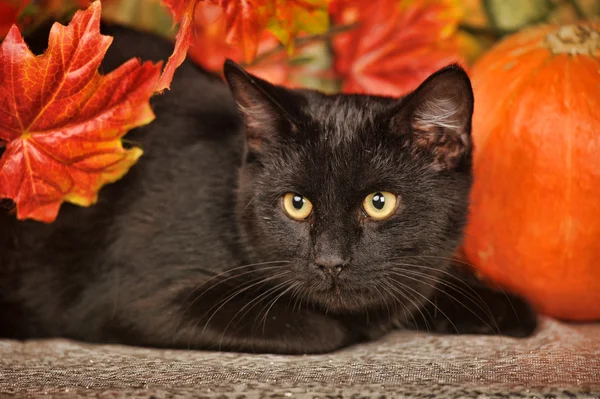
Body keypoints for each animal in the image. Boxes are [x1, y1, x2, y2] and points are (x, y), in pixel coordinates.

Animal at [0, 23, 536, 354]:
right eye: (296, 204)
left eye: (379, 203)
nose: (330, 261)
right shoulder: (130, 301)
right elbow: (322, 327)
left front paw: (496, 307)